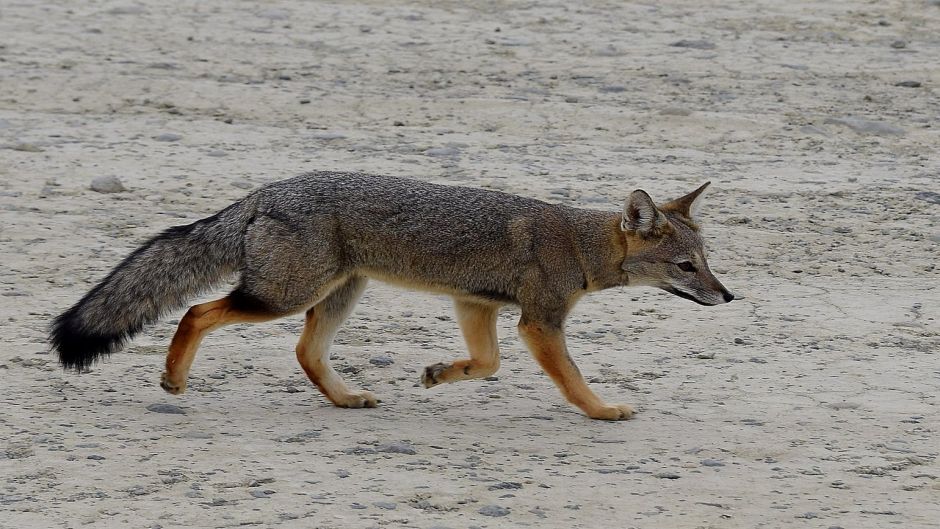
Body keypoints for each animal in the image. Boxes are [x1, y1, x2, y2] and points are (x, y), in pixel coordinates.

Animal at [49, 172, 733, 420]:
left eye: (708, 262)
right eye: (687, 267)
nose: (728, 296)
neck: (577, 242)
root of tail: (267, 189)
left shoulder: (476, 304)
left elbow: (487, 363)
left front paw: (438, 373)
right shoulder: (538, 323)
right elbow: (569, 378)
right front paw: (601, 410)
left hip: (337, 295)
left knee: (305, 353)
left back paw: (347, 397)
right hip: (282, 297)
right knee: (196, 311)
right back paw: (173, 378)